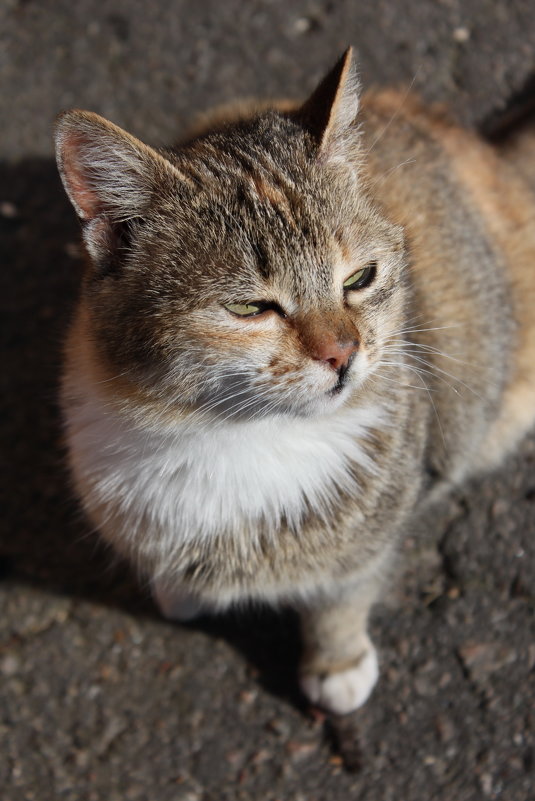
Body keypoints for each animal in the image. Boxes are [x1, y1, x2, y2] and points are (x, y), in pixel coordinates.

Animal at [53, 50, 535, 712]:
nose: (344, 352)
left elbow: (343, 590)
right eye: (251, 308)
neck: (233, 434)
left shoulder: (372, 529)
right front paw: (182, 591)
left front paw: (336, 661)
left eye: (359, 277)